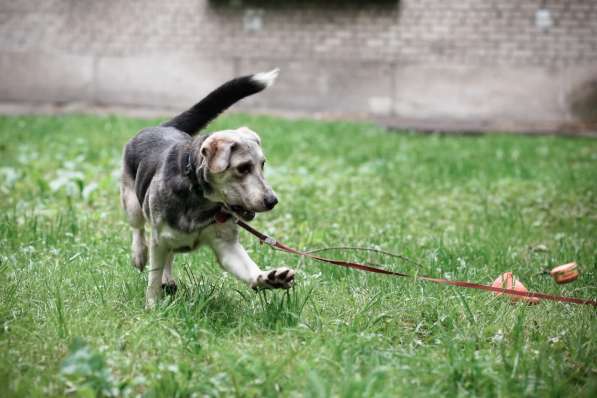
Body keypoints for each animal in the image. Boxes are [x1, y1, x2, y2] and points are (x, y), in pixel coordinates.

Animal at [119, 68, 294, 306]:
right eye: (243, 168)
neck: (201, 200)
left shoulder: (226, 245)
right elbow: (153, 277)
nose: (272, 201)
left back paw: (168, 280)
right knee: (138, 229)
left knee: (168, 257)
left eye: (262, 164)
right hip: (132, 203)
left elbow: (248, 269)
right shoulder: (159, 237)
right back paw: (139, 254)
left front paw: (269, 278)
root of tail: (164, 126)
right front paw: (152, 305)